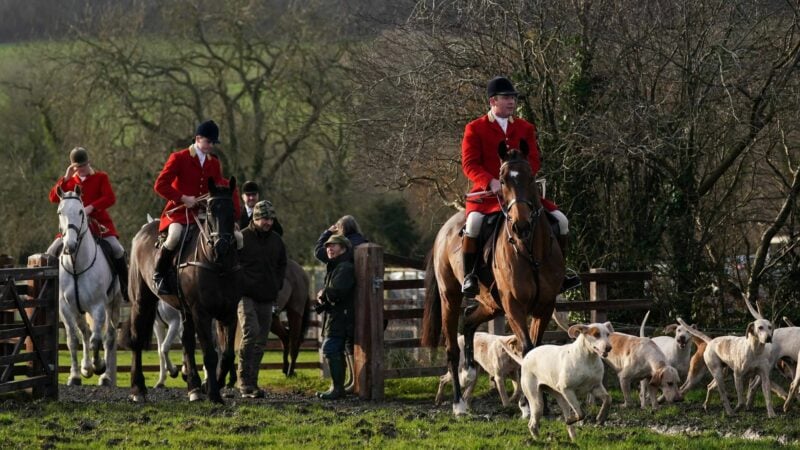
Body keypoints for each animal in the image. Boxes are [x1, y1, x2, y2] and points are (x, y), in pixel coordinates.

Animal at [56, 186, 122, 386]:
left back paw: (105, 376)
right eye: (60, 212)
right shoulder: (65, 308)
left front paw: (98, 365)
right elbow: (72, 340)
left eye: (80, 211)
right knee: (84, 332)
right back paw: (85, 368)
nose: (70, 245)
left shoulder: (98, 306)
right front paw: (75, 375)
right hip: (79, 310)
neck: (76, 266)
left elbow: (96, 340)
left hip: (113, 304)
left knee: (109, 337)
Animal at [126, 178, 241, 402]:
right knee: (136, 340)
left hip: (184, 310)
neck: (217, 264)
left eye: (232, 210)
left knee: (187, 343)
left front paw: (210, 385)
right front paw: (214, 394)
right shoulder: (201, 312)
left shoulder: (228, 313)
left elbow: (226, 354)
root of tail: (144, 230)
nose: (222, 246)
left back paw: (194, 388)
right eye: (210, 210)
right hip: (141, 301)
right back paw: (138, 389)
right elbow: (209, 354)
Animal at [422, 141, 564, 414]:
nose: (521, 225)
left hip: (491, 303)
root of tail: (444, 230)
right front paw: (528, 405)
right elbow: (527, 349)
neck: (530, 250)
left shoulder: (544, 305)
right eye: (502, 179)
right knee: (451, 347)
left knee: (468, 321)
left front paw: (541, 405)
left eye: (530, 177)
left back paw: (470, 372)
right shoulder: (514, 306)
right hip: (451, 297)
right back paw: (458, 403)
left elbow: (537, 348)